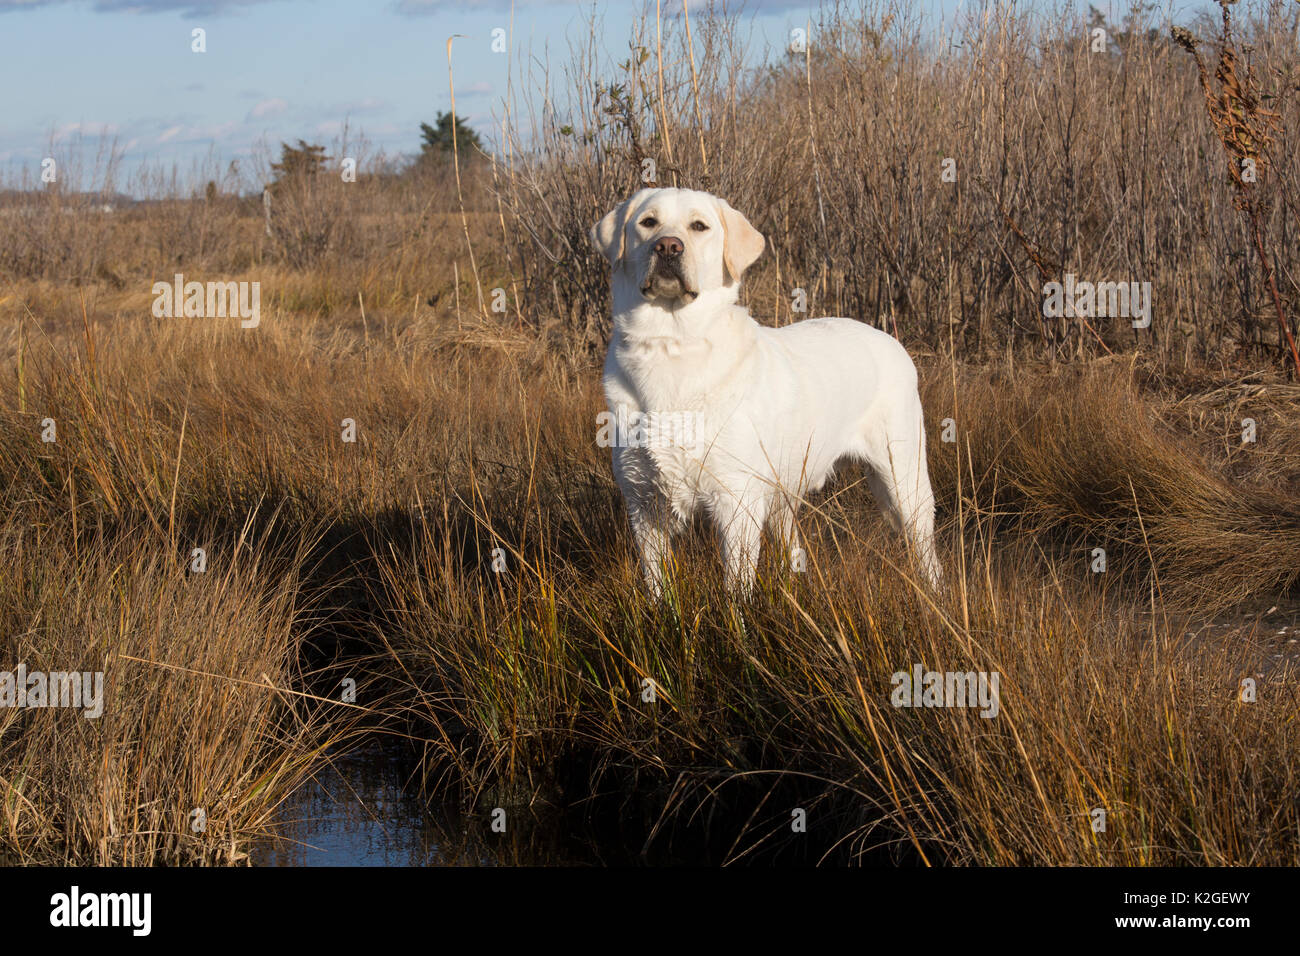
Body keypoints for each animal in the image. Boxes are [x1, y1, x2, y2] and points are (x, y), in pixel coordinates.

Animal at [595, 187, 941, 598]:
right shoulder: (643, 503)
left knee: (926, 550)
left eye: (699, 226)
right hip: (785, 491)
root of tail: (890, 339)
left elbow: (735, 592)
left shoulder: (736, 501)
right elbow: (659, 588)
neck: (671, 345)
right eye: (648, 222)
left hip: (903, 479)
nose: (667, 247)